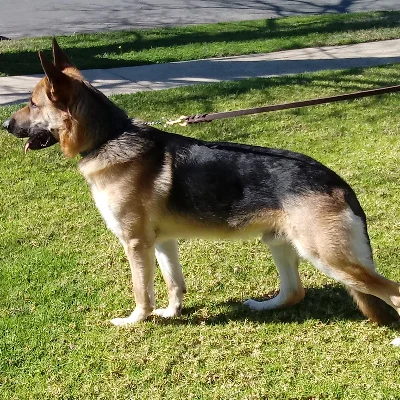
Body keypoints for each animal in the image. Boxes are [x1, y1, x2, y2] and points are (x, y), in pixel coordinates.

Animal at [3, 39, 400, 334]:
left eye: (32, 103)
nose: (5, 125)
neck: (109, 137)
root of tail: (338, 182)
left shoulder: (135, 243)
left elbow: (142, 290)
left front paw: (136, 321)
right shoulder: (162, 242)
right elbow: (173, 283)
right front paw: (171, 313)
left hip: (327, 256)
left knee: (391, 292)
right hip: (281, 243)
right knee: (294, 292)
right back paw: (262, 305)